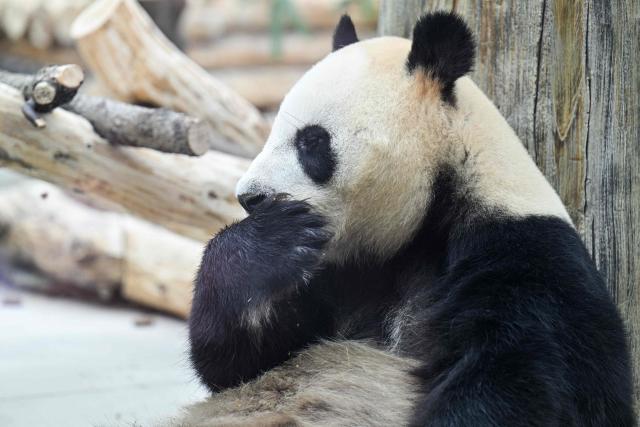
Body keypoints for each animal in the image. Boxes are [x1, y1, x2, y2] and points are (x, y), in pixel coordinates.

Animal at [173, 12, 635, 427]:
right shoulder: (339, 270)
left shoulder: (526, 261)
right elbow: (241, 363)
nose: (250, 197)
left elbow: (521, 382)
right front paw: (271, 242)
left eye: (311, 141)